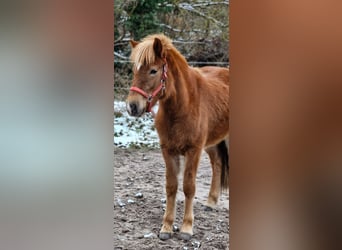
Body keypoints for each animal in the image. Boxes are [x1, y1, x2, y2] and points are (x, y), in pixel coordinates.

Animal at [125, 33, 230, 240]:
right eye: (134, 70)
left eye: (153, 70)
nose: (132, 106)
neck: (183, 106)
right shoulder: (168, 150)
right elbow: (171, 186)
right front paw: (166, 227)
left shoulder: (193, 151)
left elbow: (189, 187)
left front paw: (186, 228)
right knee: (217, 163)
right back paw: (211, 202)